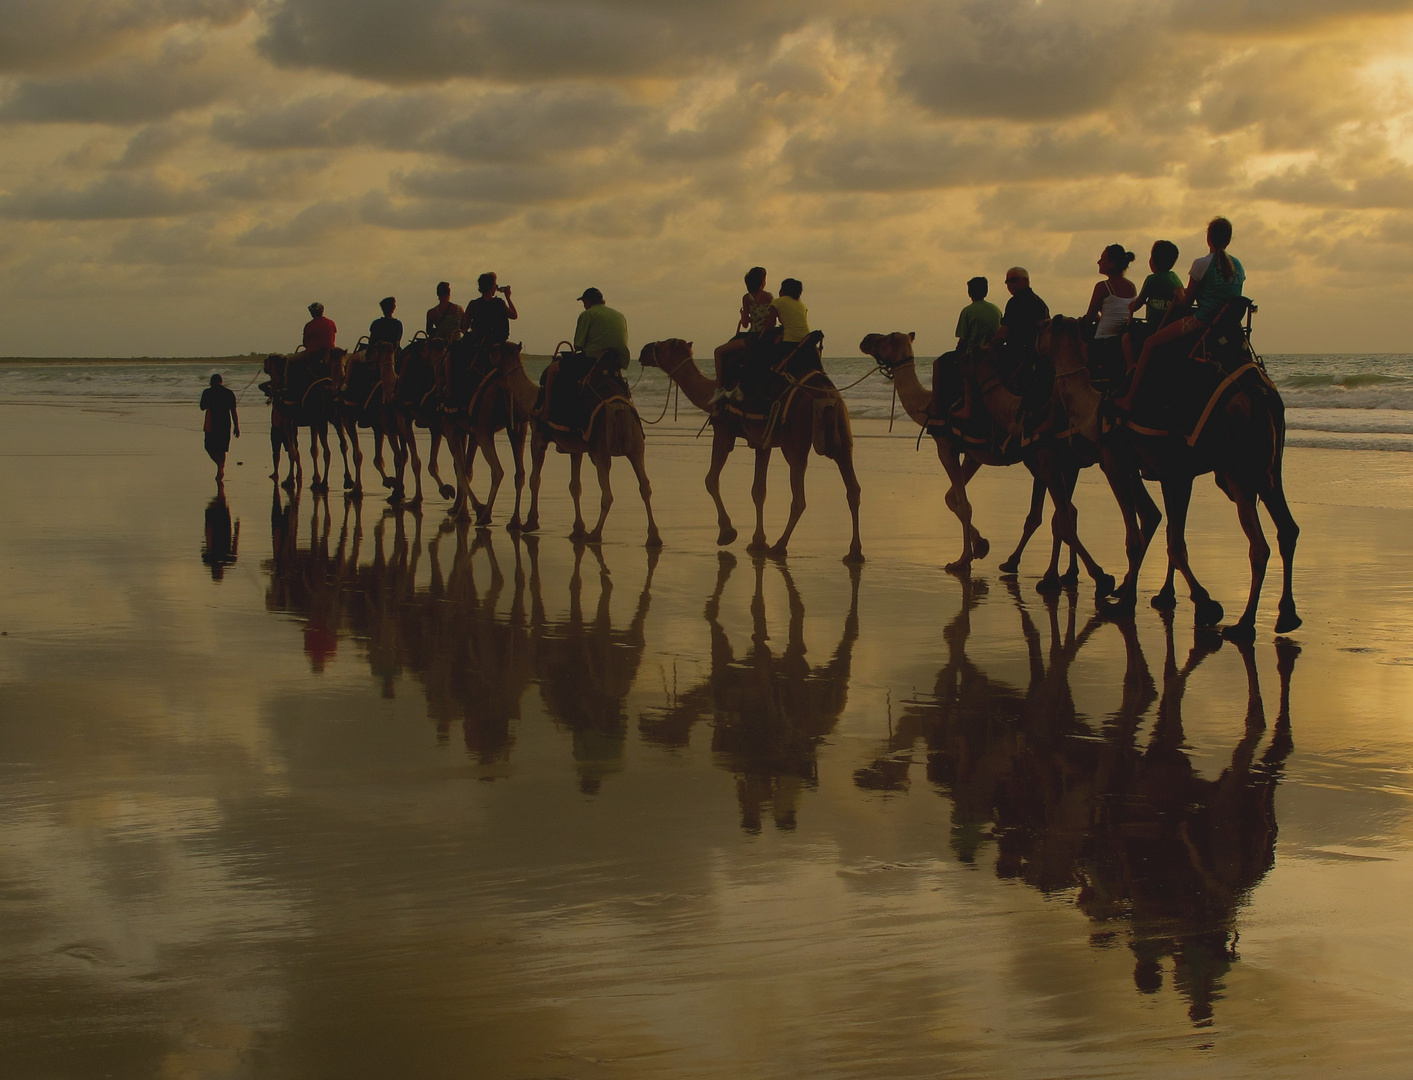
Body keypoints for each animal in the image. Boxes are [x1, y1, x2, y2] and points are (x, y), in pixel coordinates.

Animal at [438, 346, 528, 528]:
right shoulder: (470, 431)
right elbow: (466, 470)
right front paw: (461, 511)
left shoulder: (452, 428)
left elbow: (461, 471)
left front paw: (468, 511)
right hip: (518, 426)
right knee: (520, 473)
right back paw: (514, 521)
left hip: (484, 428)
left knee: (498, 470)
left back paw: (485, 515)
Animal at [491, 346, 661, 542]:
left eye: (498, 350)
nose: (489, 354)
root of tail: (620, 409)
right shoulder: (576, 449)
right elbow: (575, 486)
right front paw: (578, 529)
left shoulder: (539, 438)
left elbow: (535, 479)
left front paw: (530, 523)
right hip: (636, 447)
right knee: (645, 486)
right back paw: (654, 536)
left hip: (600, 448)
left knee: (608, 494)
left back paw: (595, 534)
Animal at [638, 337, 859, 565]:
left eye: (662, 345)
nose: (643, 351)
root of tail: (827, 393)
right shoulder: (762, 442)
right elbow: (758, 490)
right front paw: (758, 541)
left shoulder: (723, 430)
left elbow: (711, 479)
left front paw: (727, 533)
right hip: (842, 433)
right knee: (853, 489)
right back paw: (854, 553)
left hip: (795, 441)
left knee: (799, 498)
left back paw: (780, 546)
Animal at [853, 330, 1107, 593]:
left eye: (886, 338)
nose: (866, 339)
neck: (927, 407)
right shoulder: (974, 456)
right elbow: (952, 498)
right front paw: (982, 546)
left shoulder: (946, 446)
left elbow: (964, 504)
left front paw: (962, 560)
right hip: (1059, 460)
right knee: (1066, 511)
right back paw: (1065, 573)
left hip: (1049, 455)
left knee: (1061, 512)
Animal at [1039, 320, 1299, 641]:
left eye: (1045, 328)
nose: (1033, 336)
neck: (1094, 406)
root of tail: (1259, 393)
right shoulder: (1173, 474)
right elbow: (1173, 540)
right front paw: (1185, 600)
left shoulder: (1115, 462)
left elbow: (1139, 538)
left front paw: (1126, 603)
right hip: (1270, 469)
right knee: (1287, 529)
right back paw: (1286, 616)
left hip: (1238, 471)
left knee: (1259, 545)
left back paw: (1244, 625)